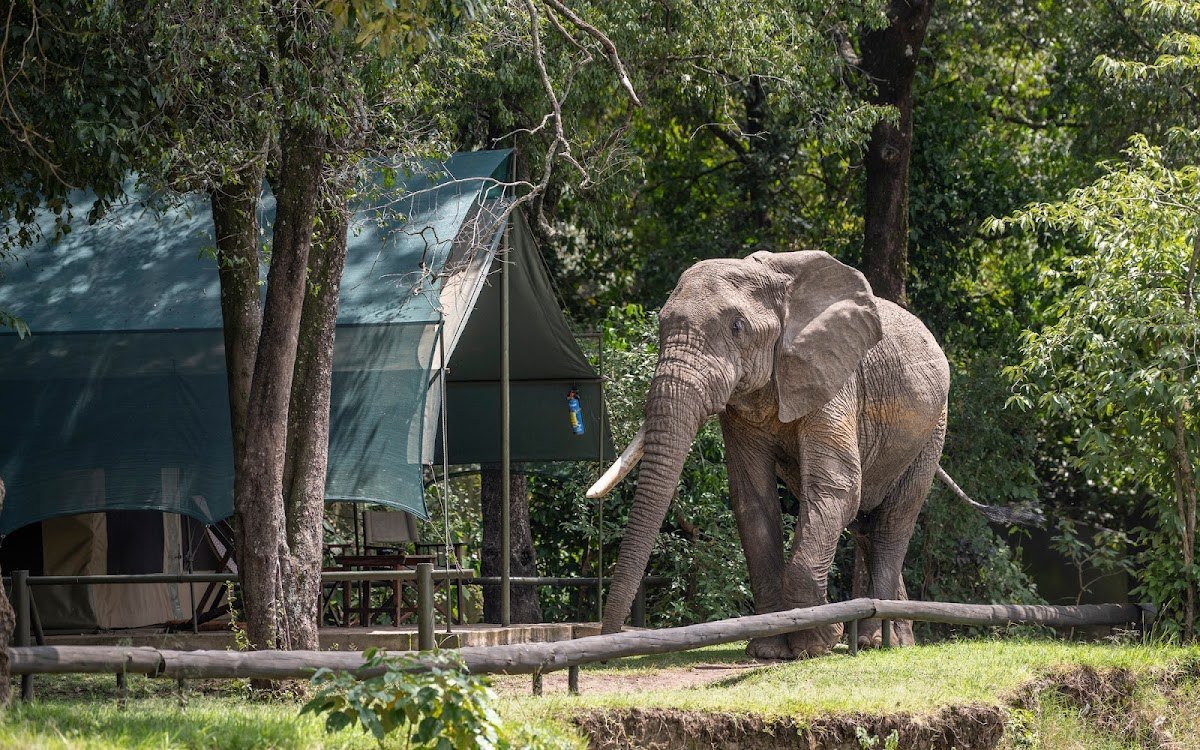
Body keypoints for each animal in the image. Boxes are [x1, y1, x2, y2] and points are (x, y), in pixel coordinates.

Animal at [588, 250, 1032, 659]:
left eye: (737, 327)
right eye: (661, 325)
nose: (606, 642)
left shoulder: (835, 377)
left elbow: (836, 487)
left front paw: (816, 643)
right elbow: (753, 502)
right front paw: (769, 649)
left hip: (932, 429)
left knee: (893, 521)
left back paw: (881, 642)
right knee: (864, 525)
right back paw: (888, 637)